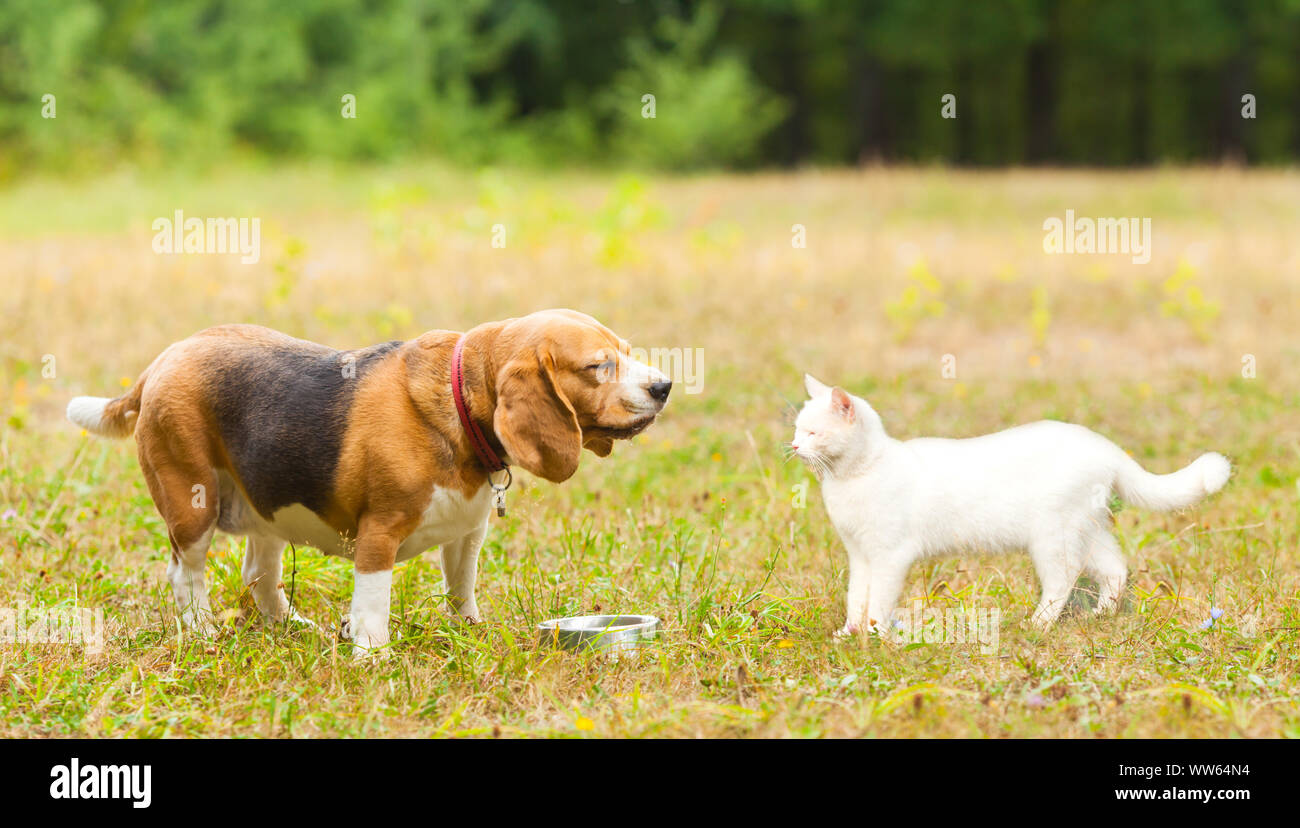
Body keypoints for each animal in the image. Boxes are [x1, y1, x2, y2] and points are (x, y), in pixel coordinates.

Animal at [65, 309, 670, 652]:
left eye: (627, 353)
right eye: (598, 366)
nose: (664, 386)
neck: (459, 401)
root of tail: (163, 360)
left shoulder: (466, 536)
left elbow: (461, 588)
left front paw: (469, 631)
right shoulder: (378, 535)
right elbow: (374, 605)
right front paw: (373, 656)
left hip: (267, 510)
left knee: (259, 574)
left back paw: (291, 628)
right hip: (193, 505)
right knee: (185, 575)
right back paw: (202, 632)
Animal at [790, 374, 1227, 631]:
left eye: (812, 432)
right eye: (796, 429)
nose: (793, 446)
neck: (852, 478)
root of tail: (1104, 445)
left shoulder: (888, 555)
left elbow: (877, 599)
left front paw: (876, 635)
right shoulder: (860, 555)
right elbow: (856, 597)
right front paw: (850, 634)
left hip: (1053, 536)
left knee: (1063, 580)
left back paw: (1039, 624)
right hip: (1087, 531)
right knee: (1116, 569)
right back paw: (1101, 615)